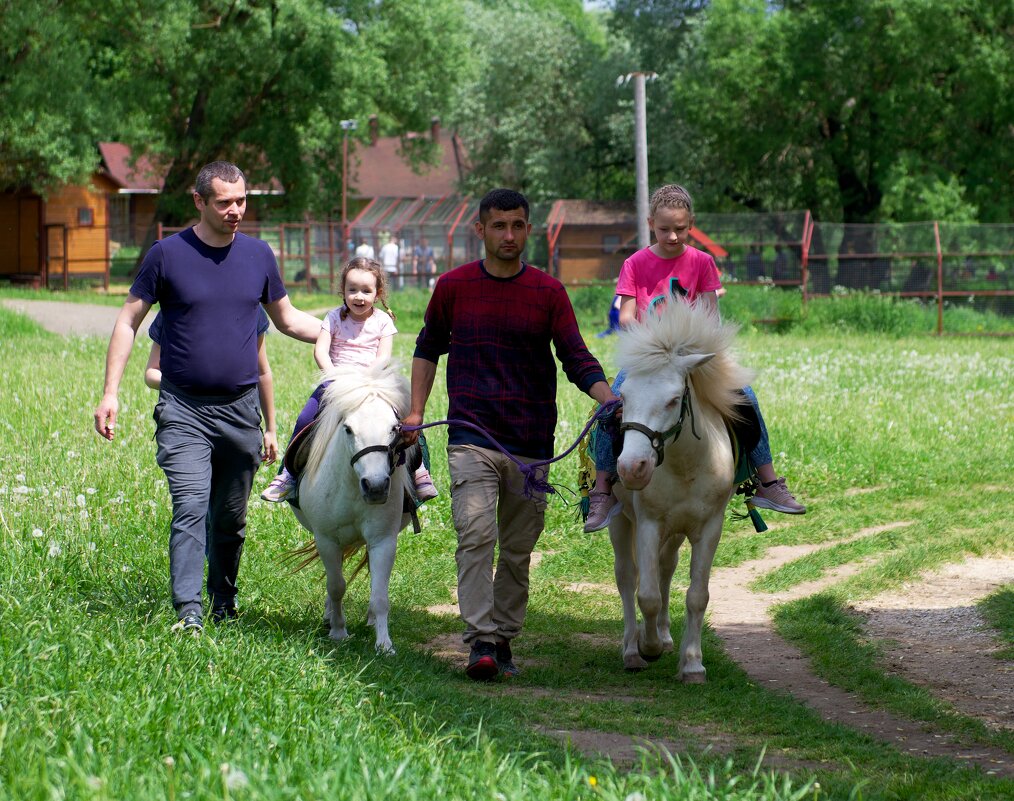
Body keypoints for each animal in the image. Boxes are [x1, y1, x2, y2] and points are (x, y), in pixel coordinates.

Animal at [294, 360, 415, 657]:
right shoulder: (326, 539)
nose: (376, 486)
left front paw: (384, 644)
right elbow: (336, 586)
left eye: (394, 428)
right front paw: (338, 631)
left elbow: (380, 595)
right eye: (348, 428)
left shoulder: (383, 540)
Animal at [608, 300, 754, 685]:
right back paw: (632, 649)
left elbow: (696, 595)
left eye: (674, 399)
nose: (631, 468)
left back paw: (665, 636)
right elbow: (646, 595)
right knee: (627, 576)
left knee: (665, 567)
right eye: (623, 396)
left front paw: (691, 664)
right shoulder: (648, 524)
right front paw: (648, 647)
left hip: (676, 532)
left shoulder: (709, 528)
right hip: (620, 521)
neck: (685, 466)